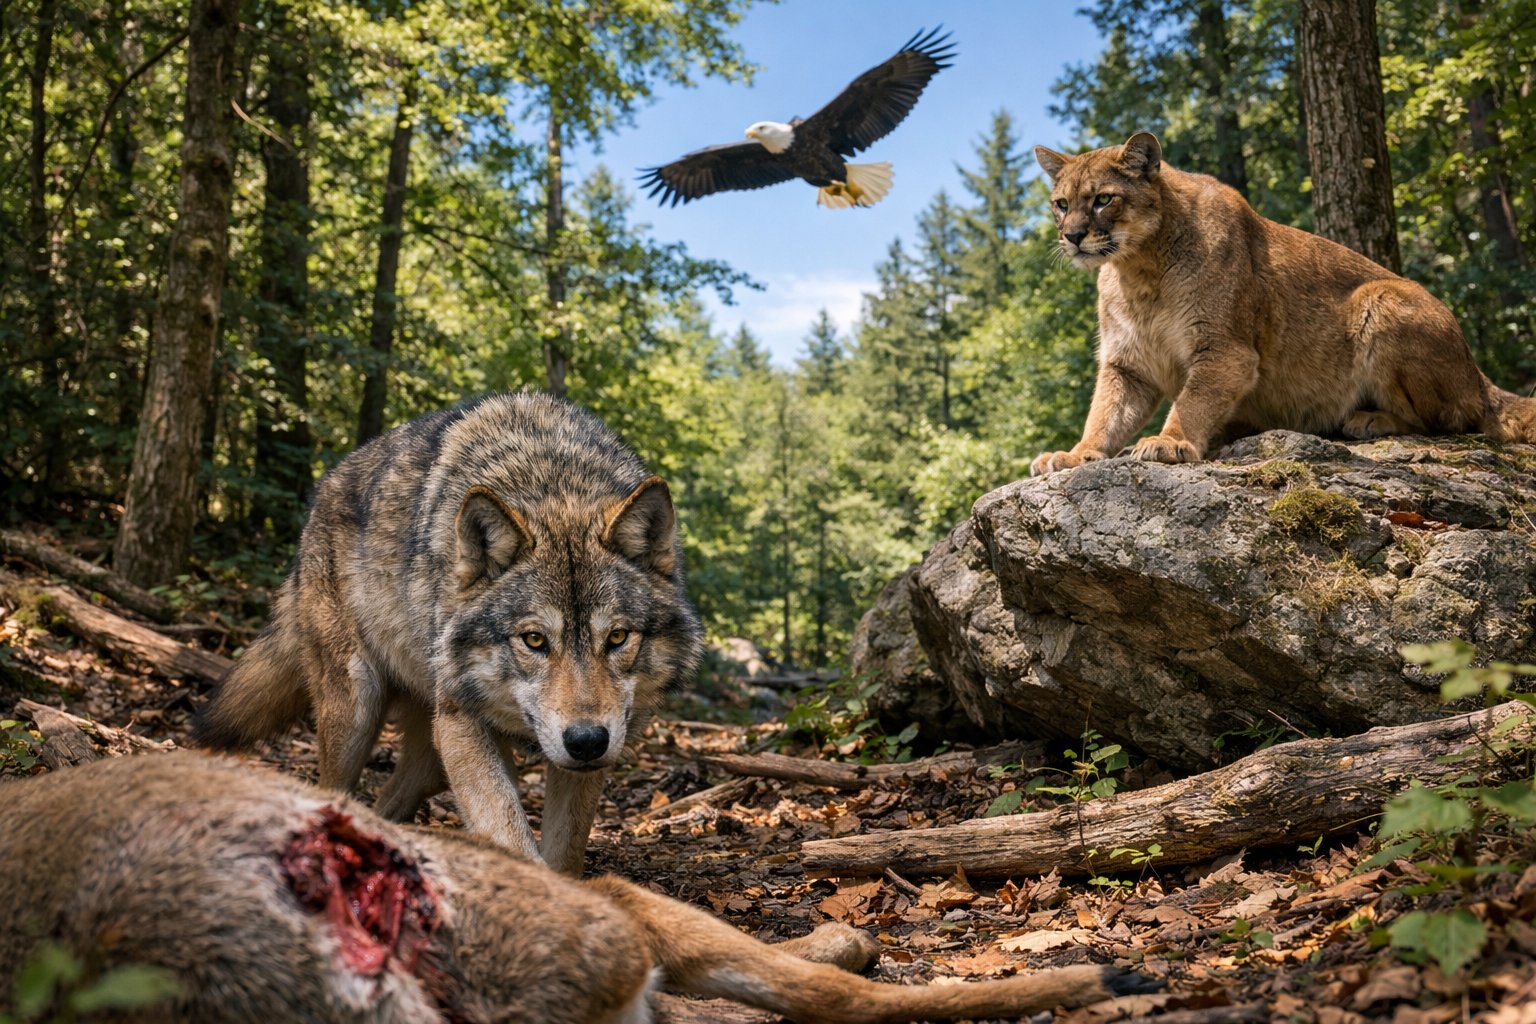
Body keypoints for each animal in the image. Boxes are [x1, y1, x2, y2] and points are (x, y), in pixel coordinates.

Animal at [193, 392, 703, 873]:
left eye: (616, 638)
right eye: (534, 640)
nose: (586, 740)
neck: (551, 481)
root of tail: (321, 493)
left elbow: (563, 853)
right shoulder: (462, 721)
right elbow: (508, 833)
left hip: (432, 754)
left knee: (389, 801)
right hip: (359, 713)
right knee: (334, 791)